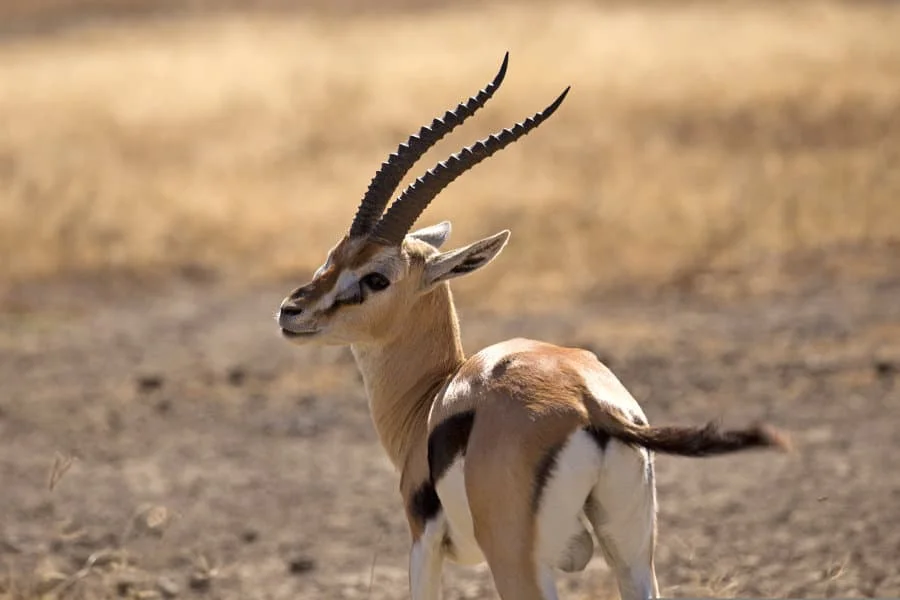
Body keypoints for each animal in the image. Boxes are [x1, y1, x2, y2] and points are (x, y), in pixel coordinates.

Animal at [277, 54, 790, 600]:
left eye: (376, 277)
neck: (431, 399)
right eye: (333, 254)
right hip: (632, 554)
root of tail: (589, 405)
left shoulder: (423, 545)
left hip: (517, 562)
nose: (292, 311)